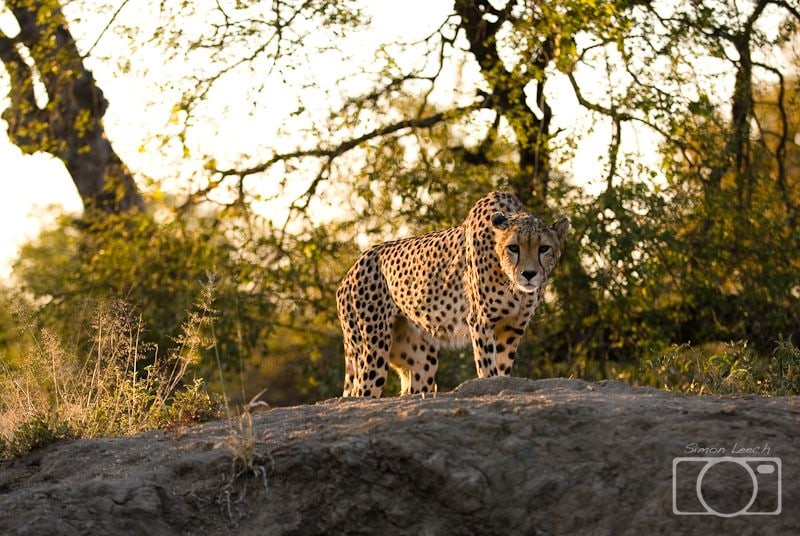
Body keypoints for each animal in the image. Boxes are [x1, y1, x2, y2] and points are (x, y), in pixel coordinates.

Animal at [336, 191, 570, 397]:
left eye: (544, 248)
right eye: (513, 248)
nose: (529, 274)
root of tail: (351, 270)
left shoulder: (512, 328)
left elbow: (502, 370)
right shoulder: (481, 322)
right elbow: (488, 369)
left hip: (420, 358)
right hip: (373, 349)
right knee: (361, 392)